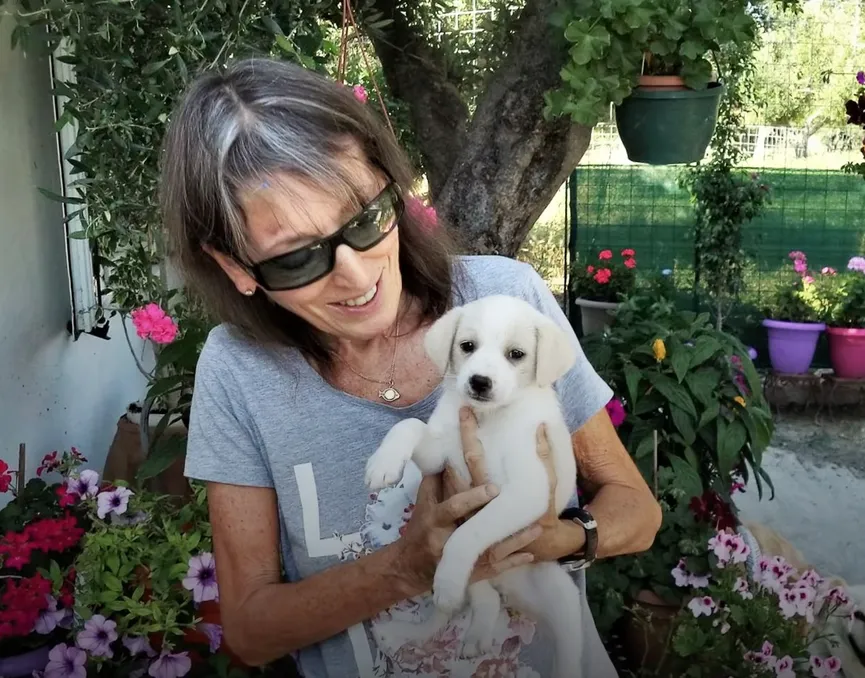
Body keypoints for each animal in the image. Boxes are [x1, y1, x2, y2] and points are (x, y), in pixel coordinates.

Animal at [362, 294, 584, 676]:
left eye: (516, 354)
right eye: (467, 346)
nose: (479, 382)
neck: (489, 419)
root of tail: (510, 589)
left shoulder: (528, 490)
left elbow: (470, 532)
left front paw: (448, 578)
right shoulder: (442, 455)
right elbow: (409, 426)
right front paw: (384, 462)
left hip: (561, 599)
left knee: (568, 650)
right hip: (482, 582)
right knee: (482, 599)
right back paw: (466, 632)